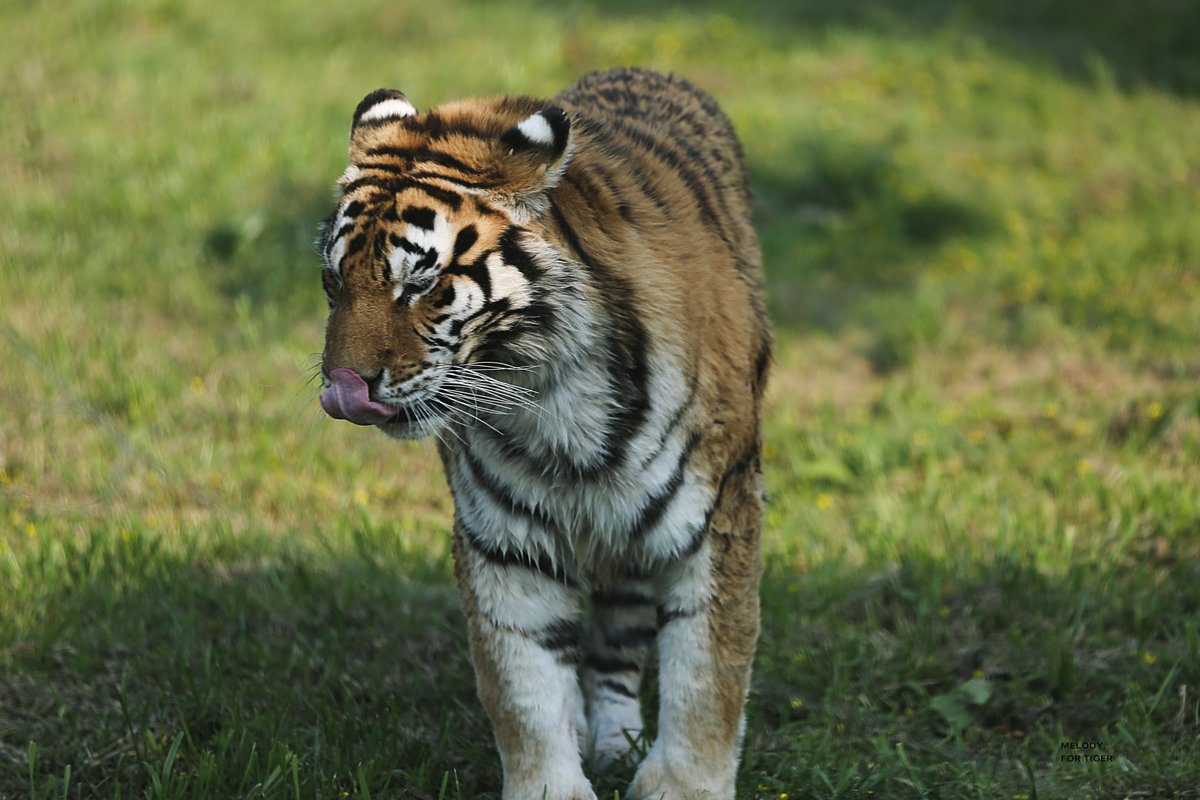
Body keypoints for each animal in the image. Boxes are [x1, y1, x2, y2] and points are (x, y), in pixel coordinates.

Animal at [316, 67, 770, 800]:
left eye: (421, 285)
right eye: (333, 280)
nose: (343, 388)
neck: (549, 395)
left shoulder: (718, 512)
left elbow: (709, 670)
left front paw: (681, 783)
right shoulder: (504, 539)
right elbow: (524, 689)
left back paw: (615, 741)